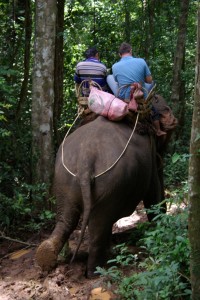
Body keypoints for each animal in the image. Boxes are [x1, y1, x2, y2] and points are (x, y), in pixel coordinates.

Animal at [35, 114, 166, 276]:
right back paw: (98, 272)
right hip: (111, 182)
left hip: (63, 179)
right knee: (99, 225)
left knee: (66, 220)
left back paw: (46, 255)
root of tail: (85, 159)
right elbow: (153, 190)